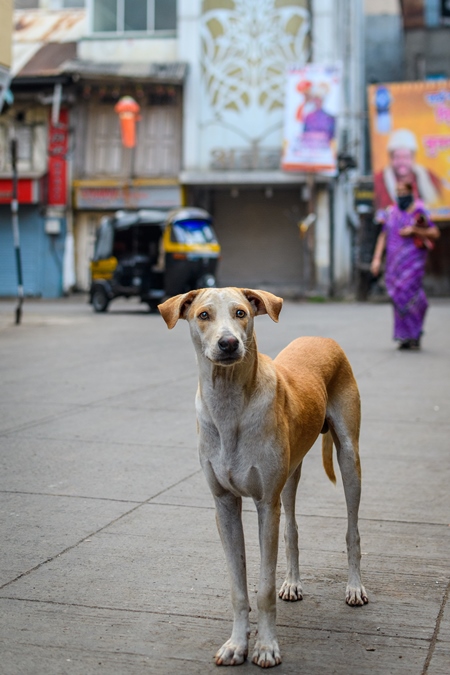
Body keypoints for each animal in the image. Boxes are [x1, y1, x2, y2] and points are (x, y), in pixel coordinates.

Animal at [160, 288, 368, 668]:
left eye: (241, 313)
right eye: (203, 315)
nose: (228, 343)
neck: (230, 405)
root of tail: (321, 338)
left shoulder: (264, 504)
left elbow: (264, 588)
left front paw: (267, 647)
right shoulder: (225, 505)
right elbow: (238, 587)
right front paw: (236, 644)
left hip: (348, 458)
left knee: (352, 530)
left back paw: (355, 587)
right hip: (290, 474)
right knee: (292, 530)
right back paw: (293, 582)